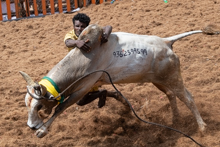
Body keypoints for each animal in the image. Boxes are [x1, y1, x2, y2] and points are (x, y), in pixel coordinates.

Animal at [19, 23, 217, 138]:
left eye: (38, 106)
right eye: (27, 105)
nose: (30, 126)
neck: (84, 57)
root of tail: (166, 42)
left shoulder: (84, 86)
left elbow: (62, 107)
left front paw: (42, 130)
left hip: (173, 77)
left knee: (188, 98)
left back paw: (202, 128)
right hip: (158, 80)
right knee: (170, 95)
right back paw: (175, 120)